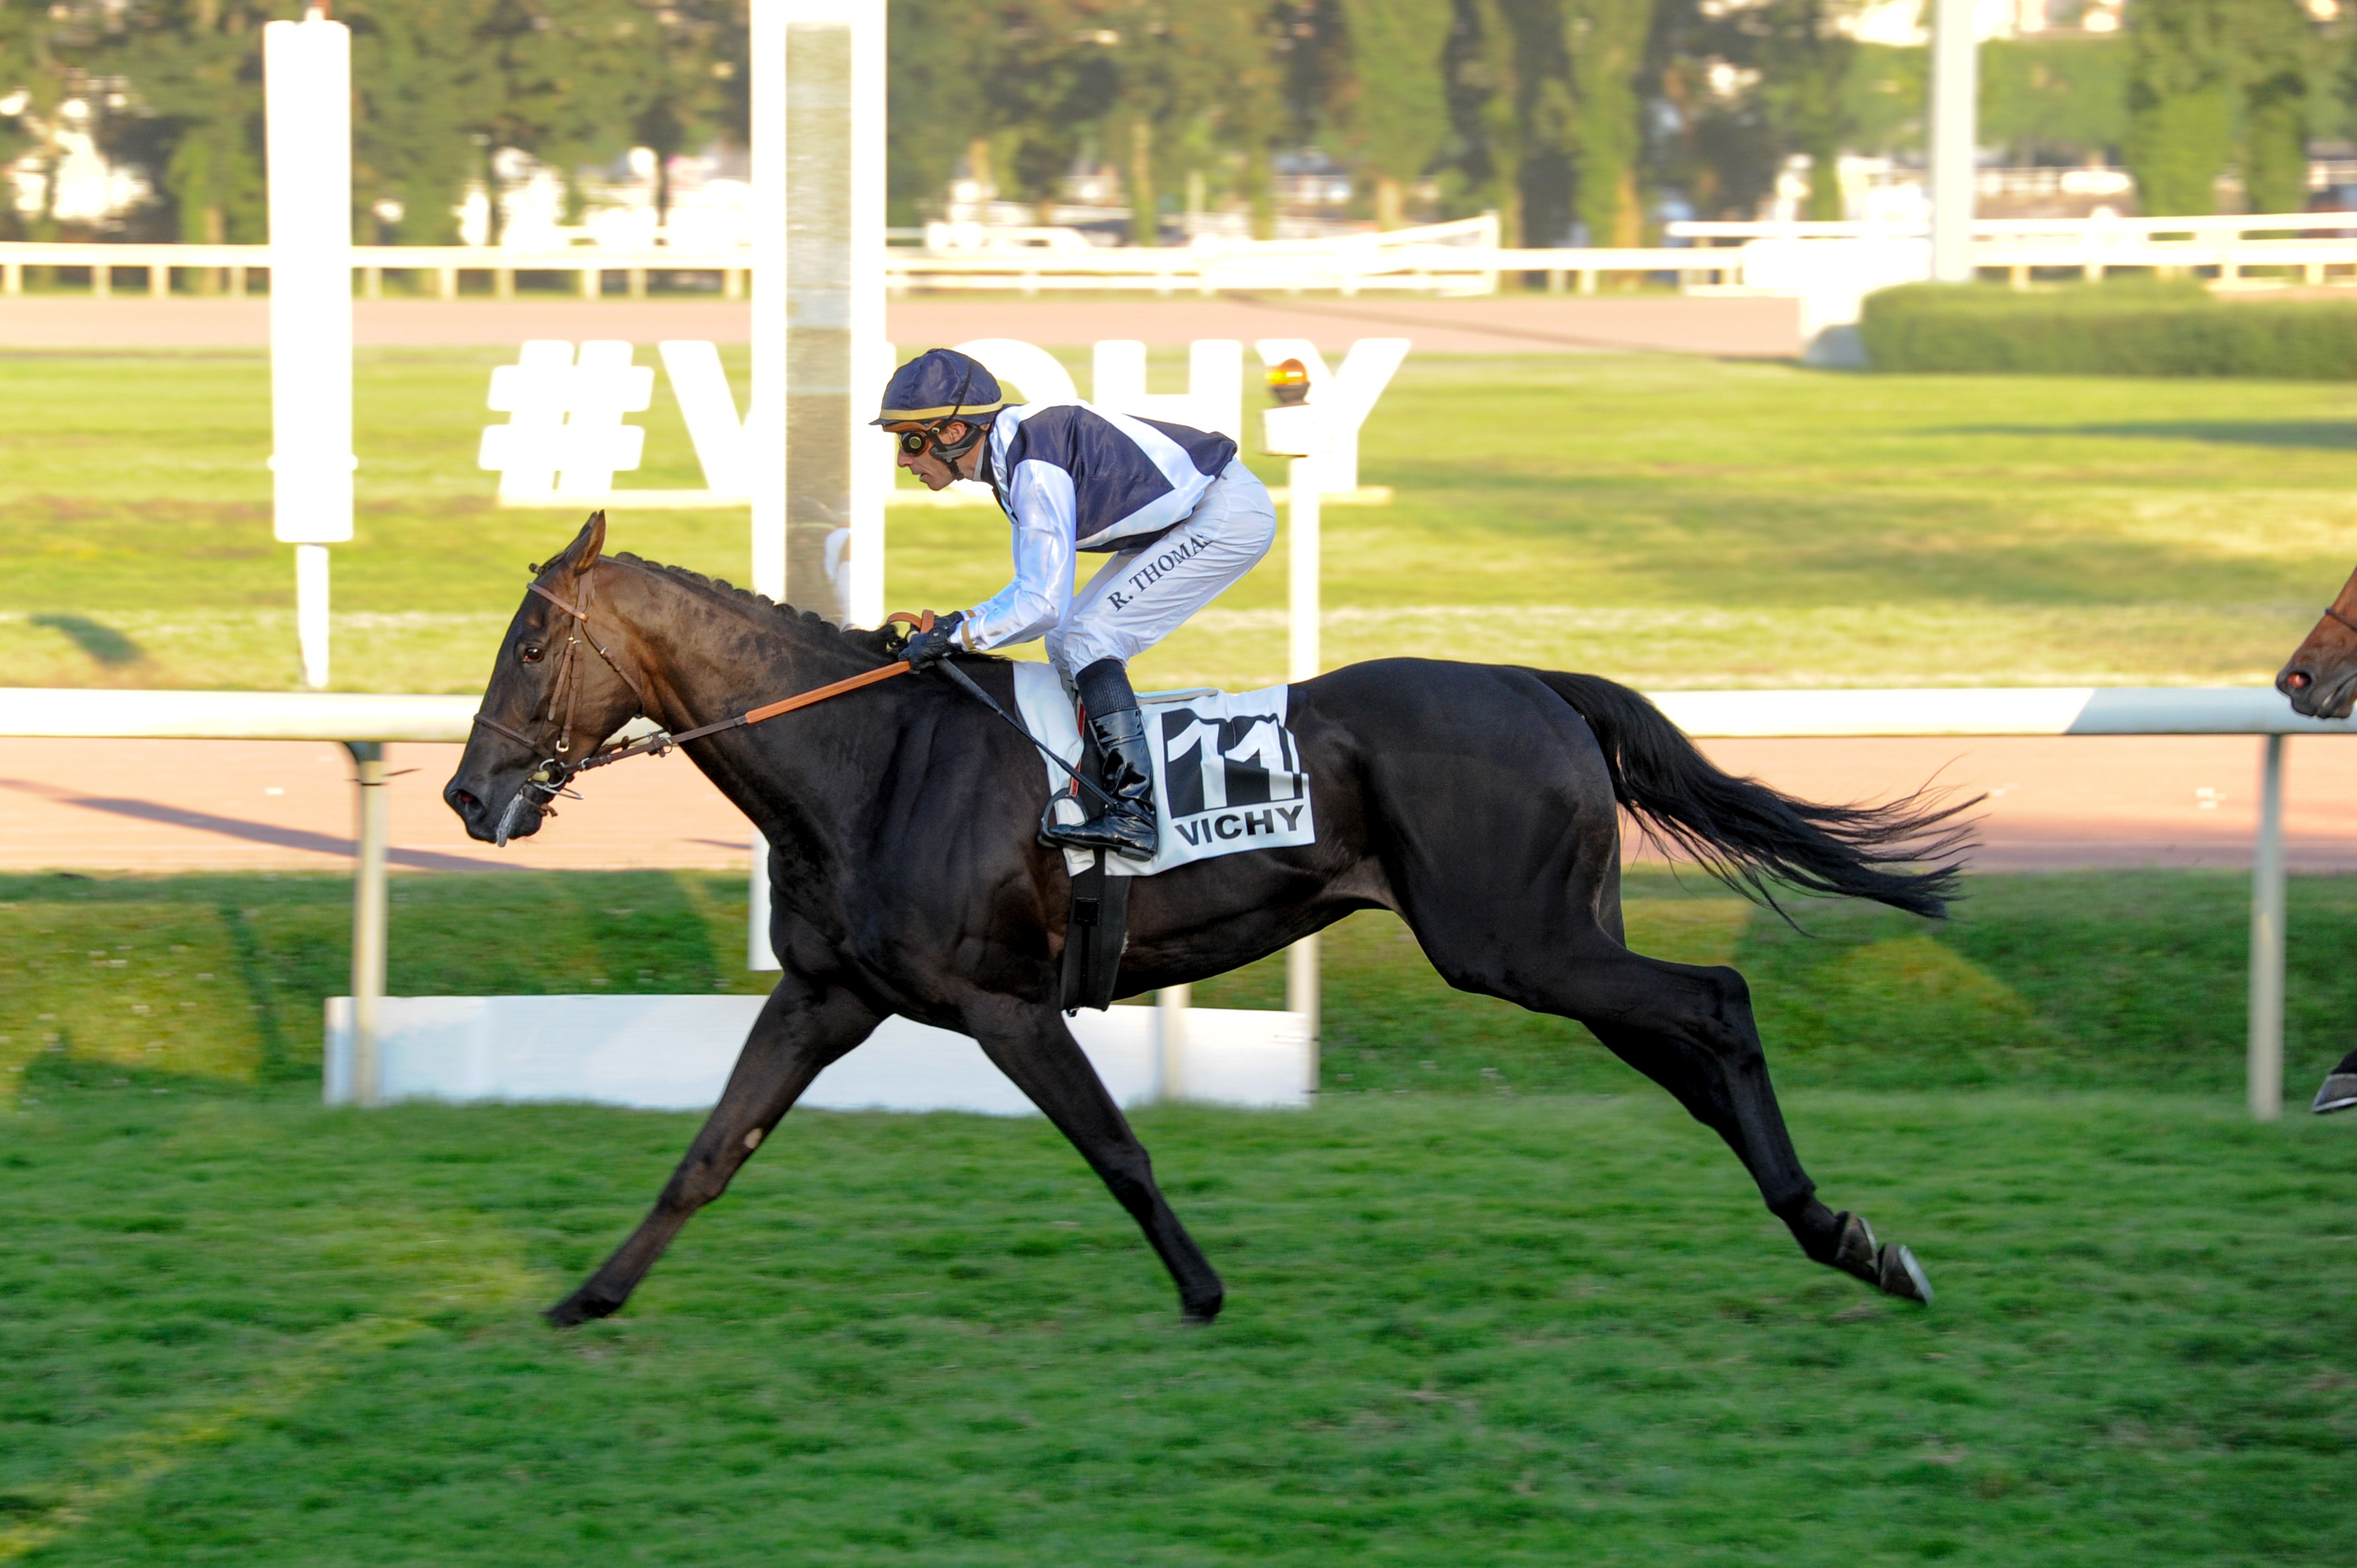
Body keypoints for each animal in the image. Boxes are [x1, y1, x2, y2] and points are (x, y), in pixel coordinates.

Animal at [450, 519, 1961, 1330]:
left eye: (529, 645)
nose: (470, 793)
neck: (866, 760)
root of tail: (1537, 685)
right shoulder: (827, 992)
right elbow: (708, 1154)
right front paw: (587, 1298)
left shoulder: (1003, 1003)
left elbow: (1116, 1148)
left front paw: (1201, 1289)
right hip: (1547, 942)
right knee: (1688, 1052)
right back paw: (1841, 1233)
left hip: (1514, 943)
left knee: (1716, 1002)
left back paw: (1843, 1234)